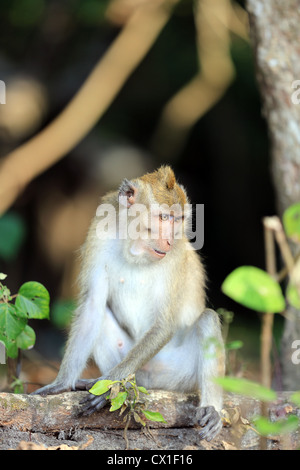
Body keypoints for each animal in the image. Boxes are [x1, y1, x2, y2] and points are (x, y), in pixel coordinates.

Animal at [33, 165, 225, 440]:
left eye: (178, 219)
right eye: (163, 218)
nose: (169, 239)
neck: (136, 247)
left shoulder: (176, 254)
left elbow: (165, 325)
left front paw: (111, 383)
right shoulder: (99, 233)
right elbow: (92, 306)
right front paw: (61, 384)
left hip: (180, 375)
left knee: (207, 319)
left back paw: (212, 409)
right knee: (100, 313)